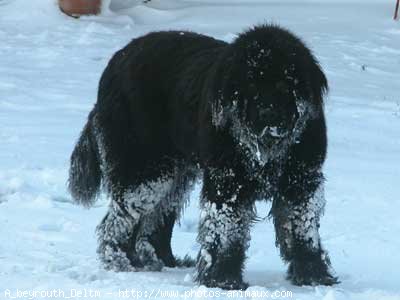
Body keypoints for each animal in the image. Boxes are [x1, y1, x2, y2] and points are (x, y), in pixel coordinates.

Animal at [69, 24, 338, 290]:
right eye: (250, 85)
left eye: (285, 83)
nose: (267, 114)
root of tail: (115, 63)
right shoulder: (227, 182)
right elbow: (227, 231)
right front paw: (223, 279)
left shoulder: (301, 181)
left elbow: (302, 229)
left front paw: (313, 275)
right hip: (146, 169)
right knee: (118, 220)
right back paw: (120, 261)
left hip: (174, 173)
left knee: (156, 219)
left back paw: (162, 261)